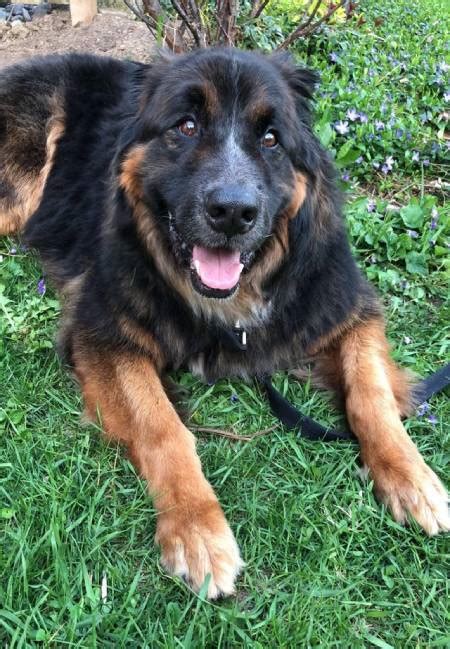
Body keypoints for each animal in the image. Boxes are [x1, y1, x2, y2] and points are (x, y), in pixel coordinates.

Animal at [0, 49, 448, 596]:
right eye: (186, 126)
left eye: (271, 139)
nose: (233, 213)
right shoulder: (103, 331)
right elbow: (164, 427)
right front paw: (197, 529)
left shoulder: (349, 306)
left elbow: (372, 396)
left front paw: (411, 476)